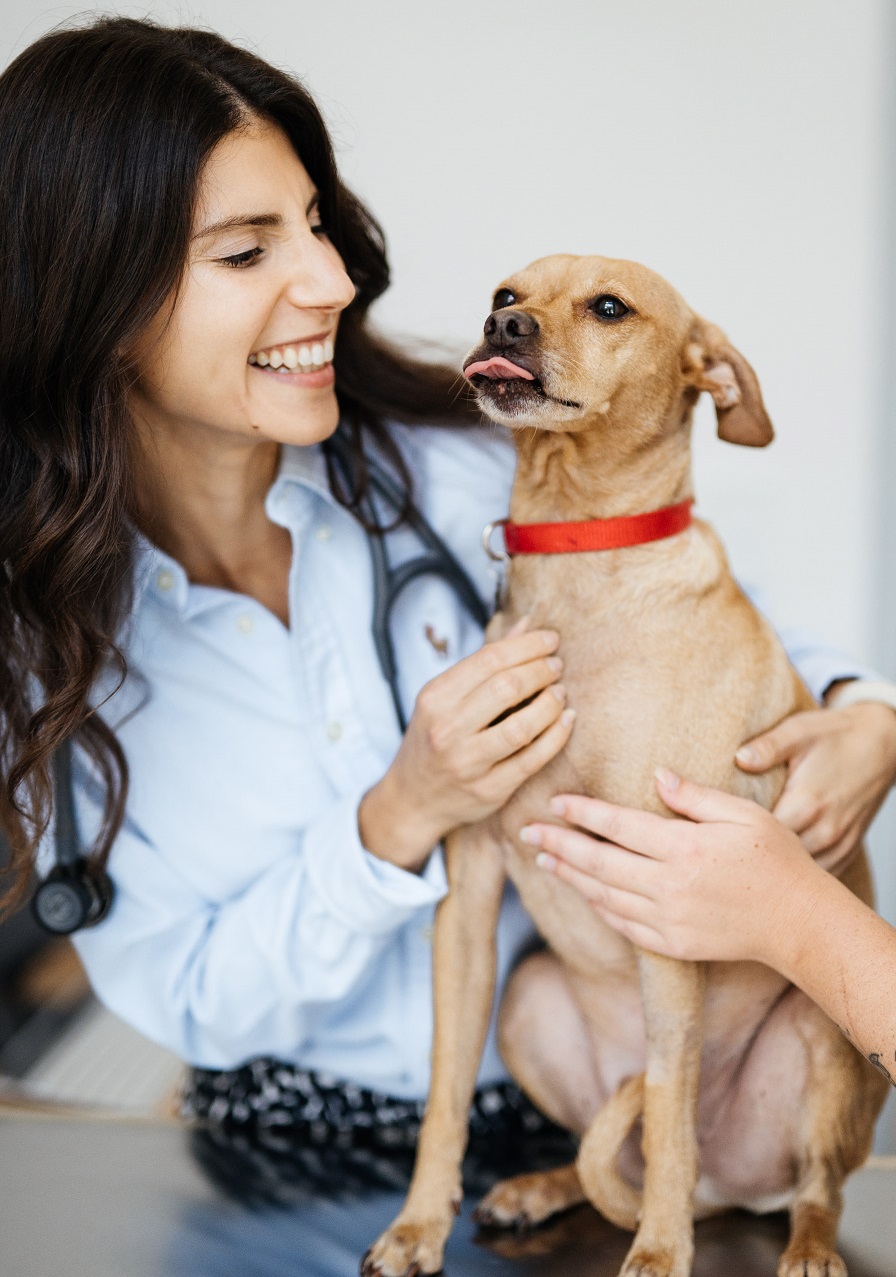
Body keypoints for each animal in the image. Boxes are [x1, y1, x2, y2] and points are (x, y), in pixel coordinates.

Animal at [359, 256, 893, 1277]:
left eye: (610, 306)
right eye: (505, 290)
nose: (505, 325)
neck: (578, 561)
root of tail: (735, 1188)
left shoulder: (671, 908)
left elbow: (672, 1108)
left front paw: (657, 1255)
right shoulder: (469, 899)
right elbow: (445, 1092)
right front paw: (415, 1224)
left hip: (822, 1034)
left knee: (804, 1184)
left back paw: (798, 1245)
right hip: (527, 1003)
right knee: (609, 1154)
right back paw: (540, 1187)